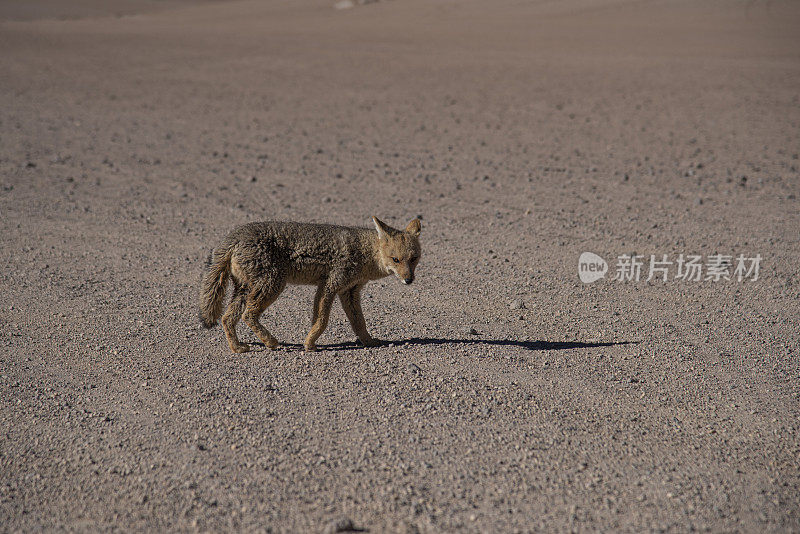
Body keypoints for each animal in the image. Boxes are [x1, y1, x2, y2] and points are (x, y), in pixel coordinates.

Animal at [200, 216, 422, 354]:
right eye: (395, 260)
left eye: (413, 259)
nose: (408, 280)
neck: (364, 253)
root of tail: (235, 235)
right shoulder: (330, 285)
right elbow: (322, 320)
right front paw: (310, 344)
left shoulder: (349, 291)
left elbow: (359, 322)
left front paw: (369, 342)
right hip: (273, 285)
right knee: (248, 315)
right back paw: (270, 341)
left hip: (246, 290)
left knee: (227, 318)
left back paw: (237, 348)